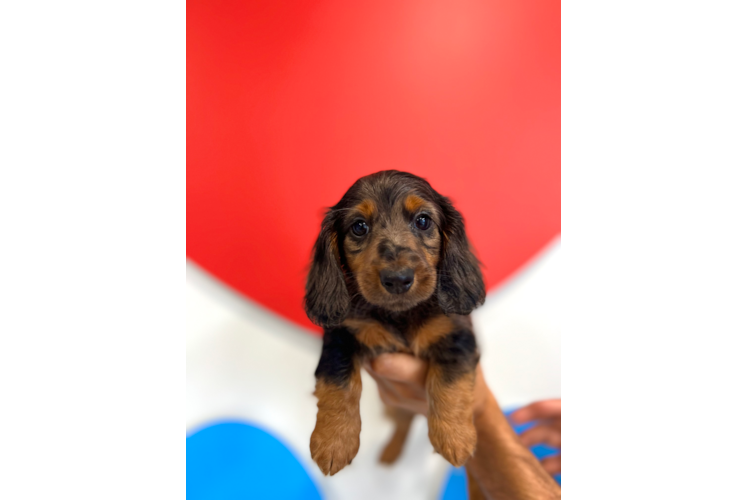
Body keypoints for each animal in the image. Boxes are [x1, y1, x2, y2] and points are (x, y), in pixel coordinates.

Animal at [304, 171, 486, 476]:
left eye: (423, 221)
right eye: (359, 227)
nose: (398, 279)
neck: (399, 315)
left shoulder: (456, 336)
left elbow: (450, 382)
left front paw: (454, 437)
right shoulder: (341, 337)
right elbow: (338, 382)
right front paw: (333, 442)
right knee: (402, 424)